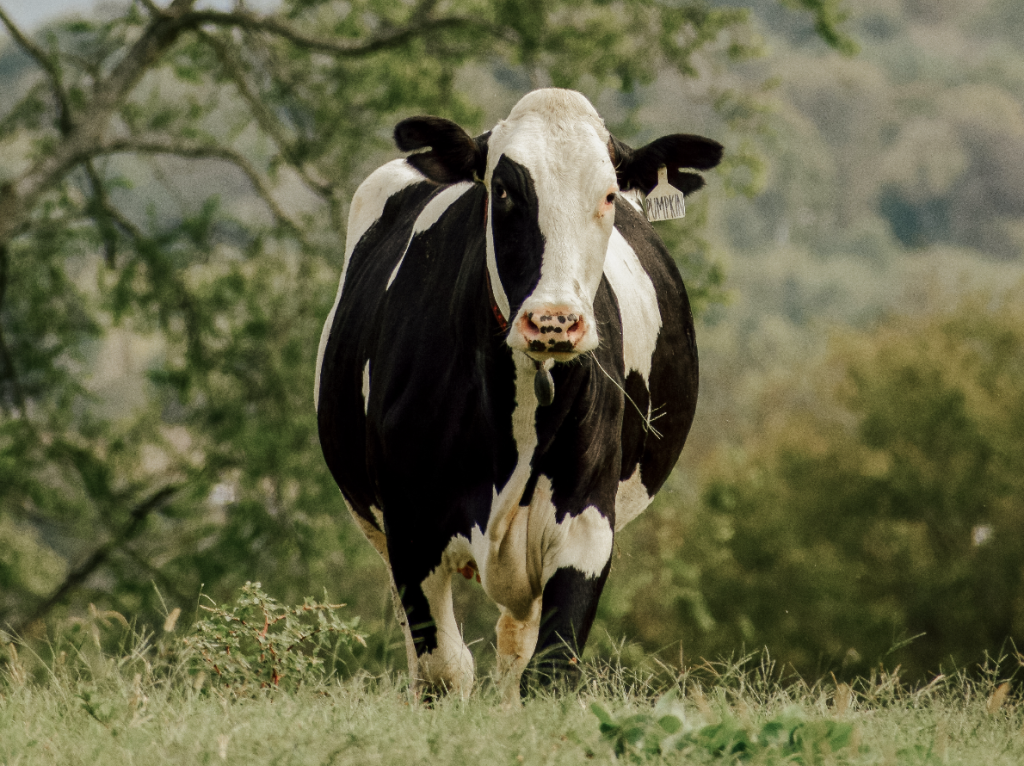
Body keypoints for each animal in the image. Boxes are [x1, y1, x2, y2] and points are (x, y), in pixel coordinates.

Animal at [315, 88, 722, 699]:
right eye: (503, 190)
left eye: (608, 194)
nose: (554, 321)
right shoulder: (410, 527)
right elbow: (444, 669)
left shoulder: (585, 523)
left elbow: (551, 669)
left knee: (516, 647)